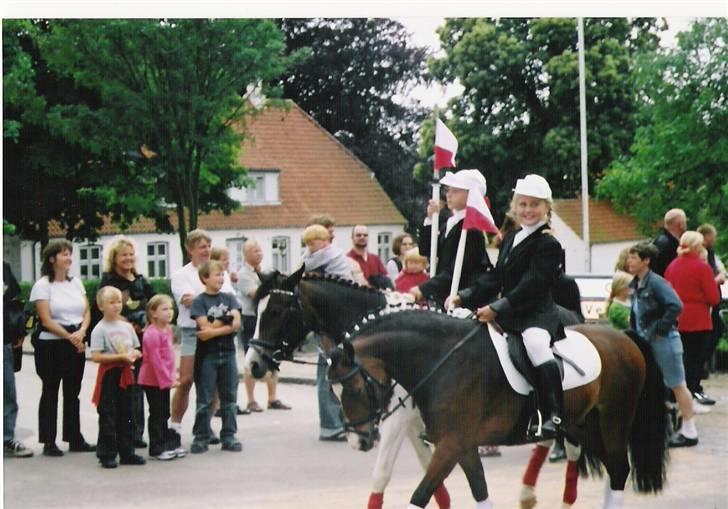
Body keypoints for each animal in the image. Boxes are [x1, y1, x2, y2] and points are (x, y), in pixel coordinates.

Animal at [328, 308, 668, 508]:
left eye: (354, 388)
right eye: (333, 392)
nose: (358, 441)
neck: (444, 361)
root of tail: (622, 337)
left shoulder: (450, 446)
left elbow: (419, 497)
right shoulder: (462, 447)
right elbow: (480, 492)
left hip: (613, 420)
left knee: (619, 469)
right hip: (582, 426)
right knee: (613, 469)